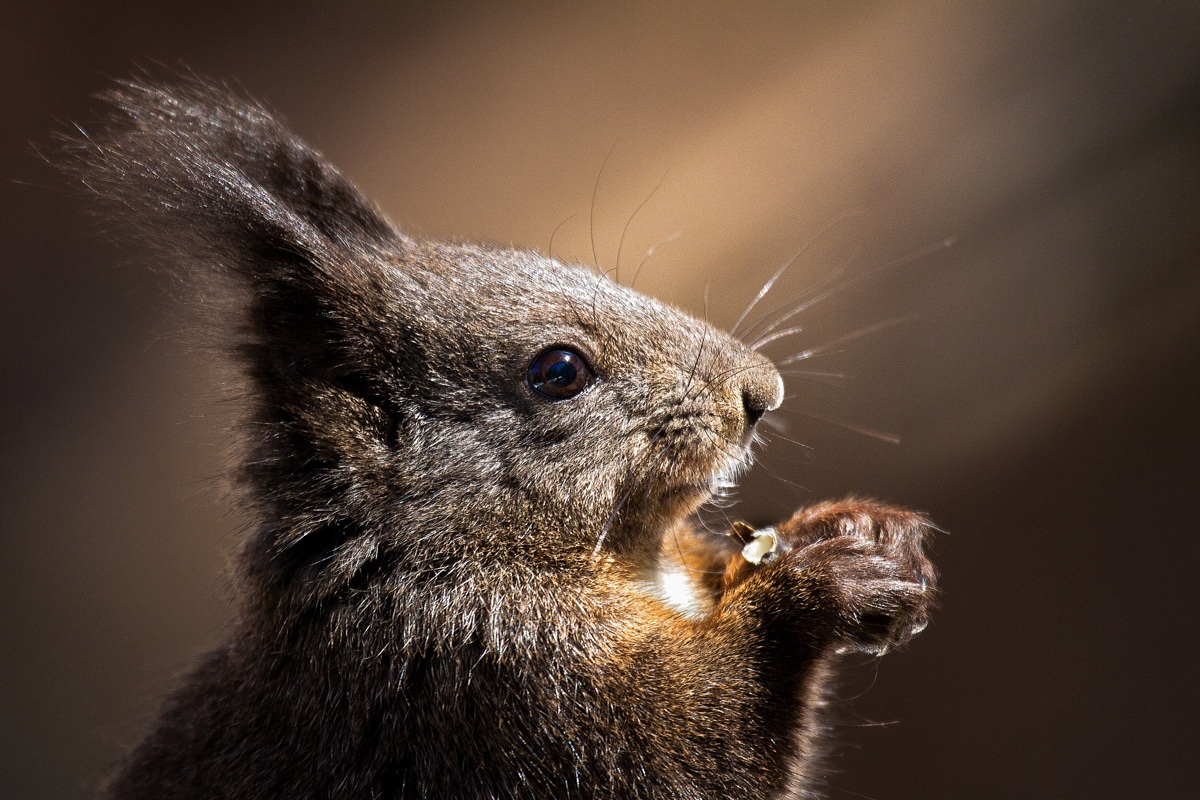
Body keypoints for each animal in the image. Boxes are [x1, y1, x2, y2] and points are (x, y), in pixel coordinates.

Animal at [61, 79, 937, 799]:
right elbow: (699, 752)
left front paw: (848, 527)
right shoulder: (490, 677)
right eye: (559, 371)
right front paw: (822, 583)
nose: (762, 391)